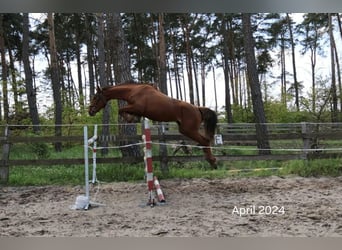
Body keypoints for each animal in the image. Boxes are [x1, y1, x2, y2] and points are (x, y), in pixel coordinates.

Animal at [88, 81, 216, 168]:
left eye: (95, 97)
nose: (90, 111)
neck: (133, 91)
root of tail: (198, 109)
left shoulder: (137, 107)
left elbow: (121, 110)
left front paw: (131, 119)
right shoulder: (135, 109)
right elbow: (124, 111)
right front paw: (133, 119)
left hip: (188, 130)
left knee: (205, 141)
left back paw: (212, 161)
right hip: (186, 130)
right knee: (203, 141)